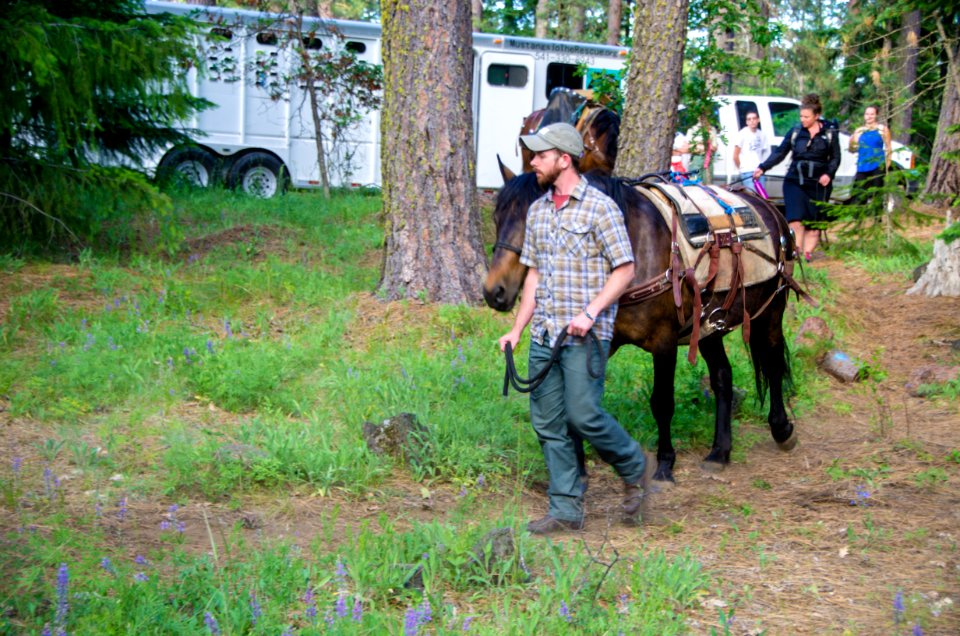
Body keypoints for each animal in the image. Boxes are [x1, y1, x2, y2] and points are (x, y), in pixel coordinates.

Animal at [484, 166, 800, 484]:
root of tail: (771, 210)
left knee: (773, 363)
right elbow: (577, 400)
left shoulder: (665, 343)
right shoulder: (599, 341)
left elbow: (661, 403)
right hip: (709, 326)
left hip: (771, 312)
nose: (494, 292)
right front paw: (579, 467)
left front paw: (664, 463)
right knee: (723, 377)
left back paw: (781, 429)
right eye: (497, 218)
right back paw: (719, 452)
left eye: (529, 222)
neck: (633, 249)